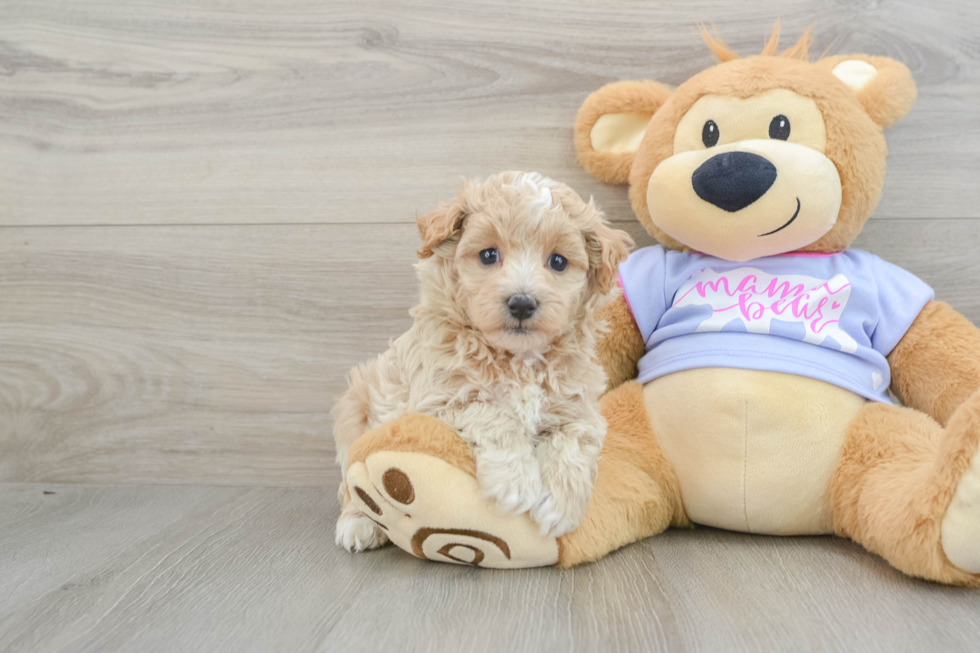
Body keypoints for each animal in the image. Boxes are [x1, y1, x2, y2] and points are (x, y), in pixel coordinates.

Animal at [334, 169, 632, 552]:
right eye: (489, 255)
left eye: (558, 262)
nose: (522, 303)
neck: (519, 359)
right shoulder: (437, 402)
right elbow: (492, 413)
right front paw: (516, 483)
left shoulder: (580, 409)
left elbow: (572, 442)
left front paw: (558, 504)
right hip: (354, 413)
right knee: (351, 482)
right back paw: (358, 522)